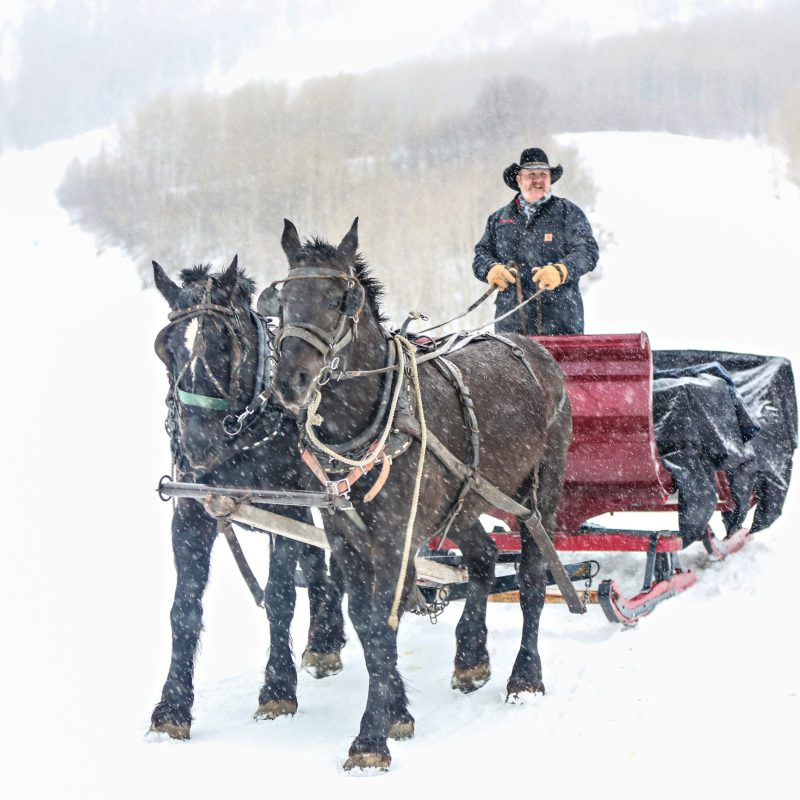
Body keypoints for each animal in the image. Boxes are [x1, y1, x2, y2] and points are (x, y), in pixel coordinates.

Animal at [150, 257, 345, 739]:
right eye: (167, 349)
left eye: (221, 344)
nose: (195, 448)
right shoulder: (190, 514)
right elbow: (184, 608)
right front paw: (172, 707)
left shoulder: (283, 509)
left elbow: (279, 597)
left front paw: (277, 690)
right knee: (318, 559)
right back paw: (324, 638)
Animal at [266, 218, 573, 770]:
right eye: (282, 299)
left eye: (341, 299)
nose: (290, 381)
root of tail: (533, 347)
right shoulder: (346, 539)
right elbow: (366, 626)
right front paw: (396, 712)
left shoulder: (395, 538)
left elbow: (383, 626)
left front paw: (370, 738)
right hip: (465, 499)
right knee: (482, 557)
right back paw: (471, 657)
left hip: (541, 492)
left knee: (534, 581)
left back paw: (525, 676)